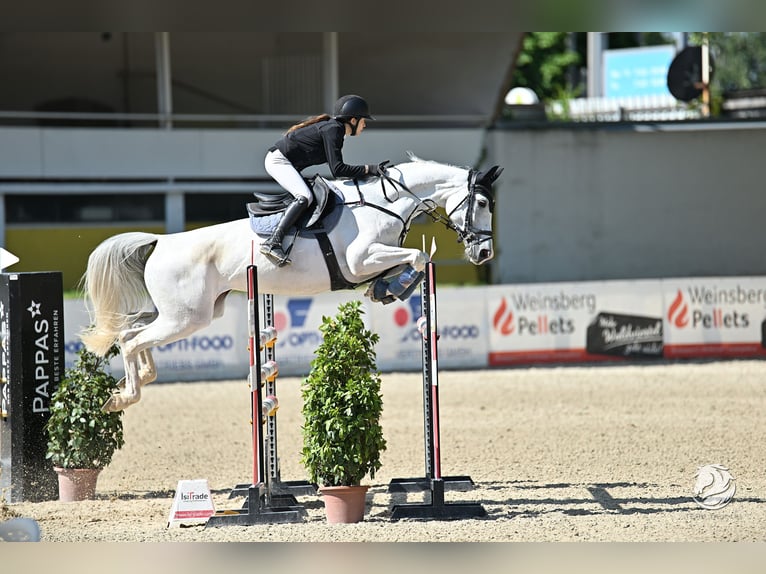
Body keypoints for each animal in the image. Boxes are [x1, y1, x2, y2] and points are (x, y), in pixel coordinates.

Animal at [81, 154, 503, 411]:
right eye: (482, 204)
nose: (484, 254)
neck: (386, 203)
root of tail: (161, 241)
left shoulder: (371, 259)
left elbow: (410, 259)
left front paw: (384, 288)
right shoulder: (359, 259)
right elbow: (416, 257)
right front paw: (395, 287)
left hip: (186, 312)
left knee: (130, 331)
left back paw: (137, 381)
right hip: (186, 318)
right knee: (131, 339)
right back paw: (126, 396)